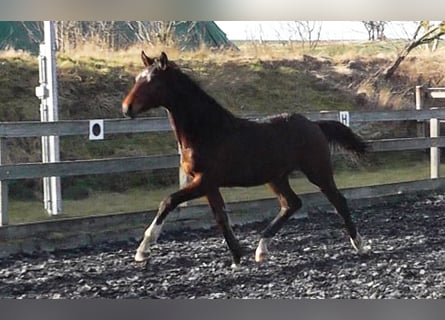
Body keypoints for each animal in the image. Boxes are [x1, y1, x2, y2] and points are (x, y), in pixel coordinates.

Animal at [122, 52, 368, 268]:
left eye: (153, 82)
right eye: (137, 79)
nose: (126, 108)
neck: (207, 132)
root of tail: (315, 124)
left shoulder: (204, 181)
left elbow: (168, 201)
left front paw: (142, 251)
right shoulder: (209, 185)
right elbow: (221, 217)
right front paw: (237, 258)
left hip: (317, 171)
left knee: (338, 201)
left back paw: (359, 244)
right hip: (276, 177)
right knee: (292, 204)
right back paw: (261, 249)